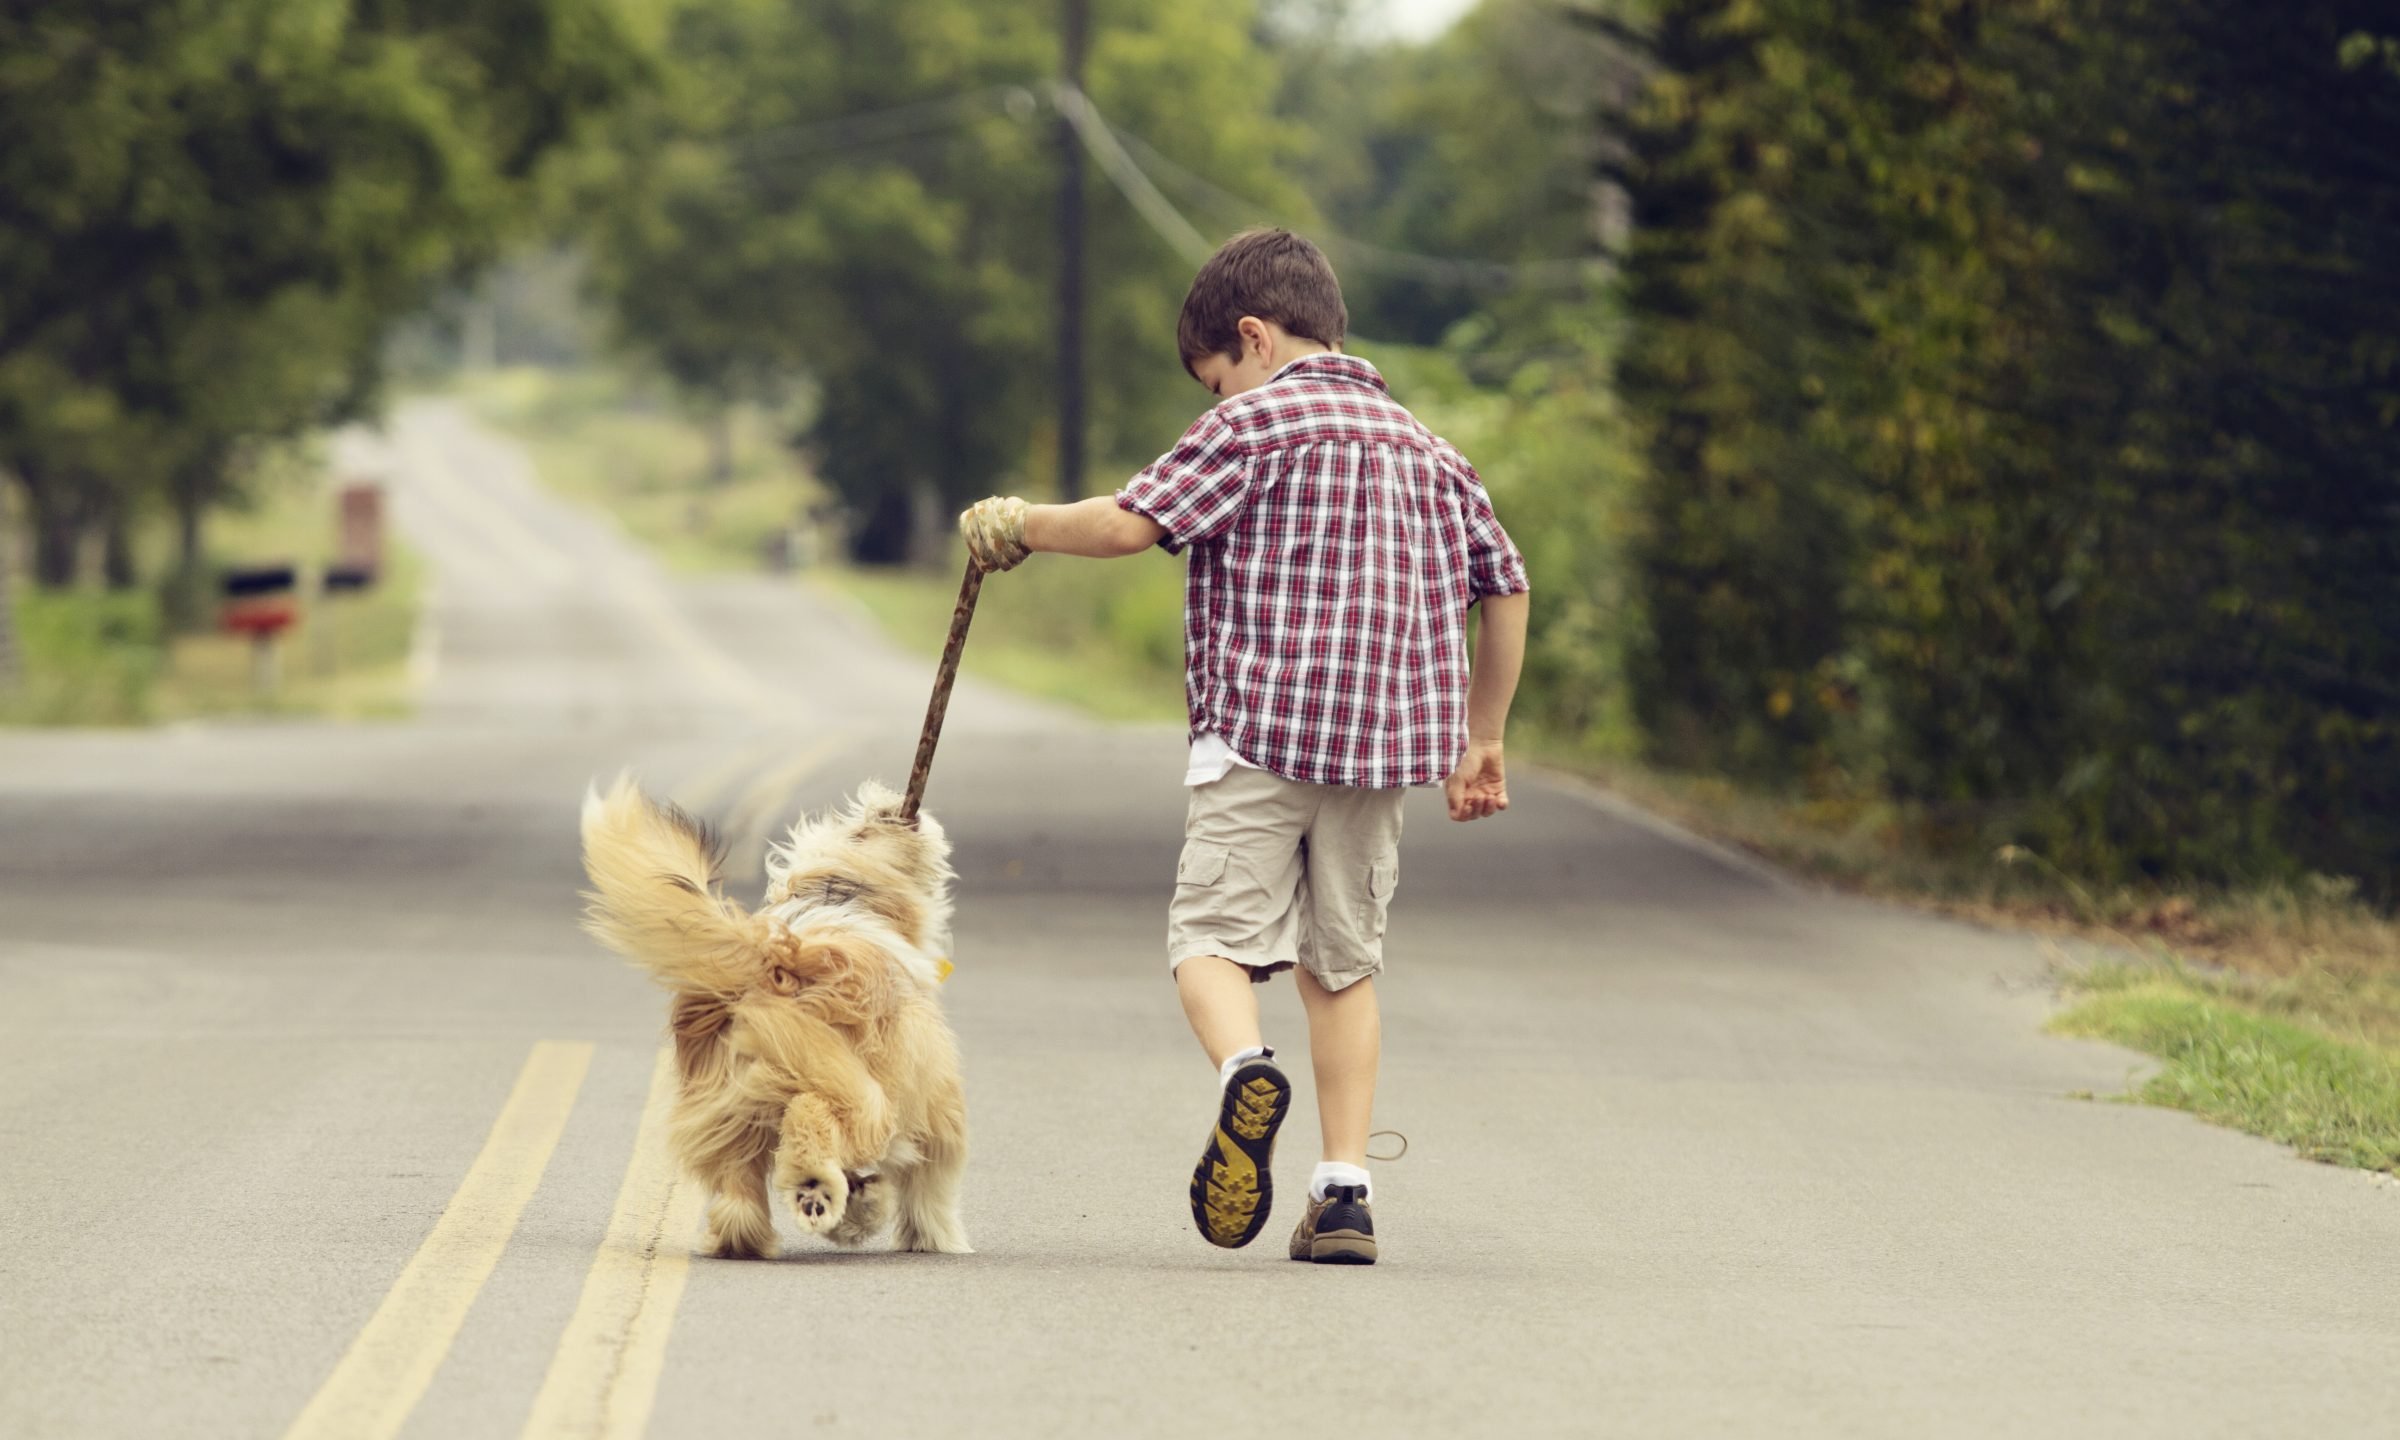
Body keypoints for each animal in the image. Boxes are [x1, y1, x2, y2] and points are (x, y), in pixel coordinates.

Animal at [578, 777, 964, 1257]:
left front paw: (860, 1211)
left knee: (738, 1189)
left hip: (724, 1108)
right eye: (863, 829)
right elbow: (931, 1186)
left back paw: (746, 1237)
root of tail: (776, 958)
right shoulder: (934, 1105)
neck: (851, 894)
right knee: (812, 1114)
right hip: (851, 1089)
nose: (894, 803)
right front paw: (934, 1238)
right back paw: (814, 1189)